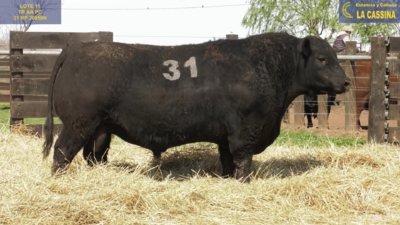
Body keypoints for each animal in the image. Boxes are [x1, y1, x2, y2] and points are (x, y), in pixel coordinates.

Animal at [43, 32, 350, 182]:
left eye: (334, 57)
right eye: (322, 58)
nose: (347, 81)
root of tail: (77, 47)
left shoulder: (226, 136)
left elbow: (228, 162)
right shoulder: (245, 130)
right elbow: (243, 162)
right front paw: (244, 183)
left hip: (100, 130)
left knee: (92, 156)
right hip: (78, 124)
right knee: (61, 152)